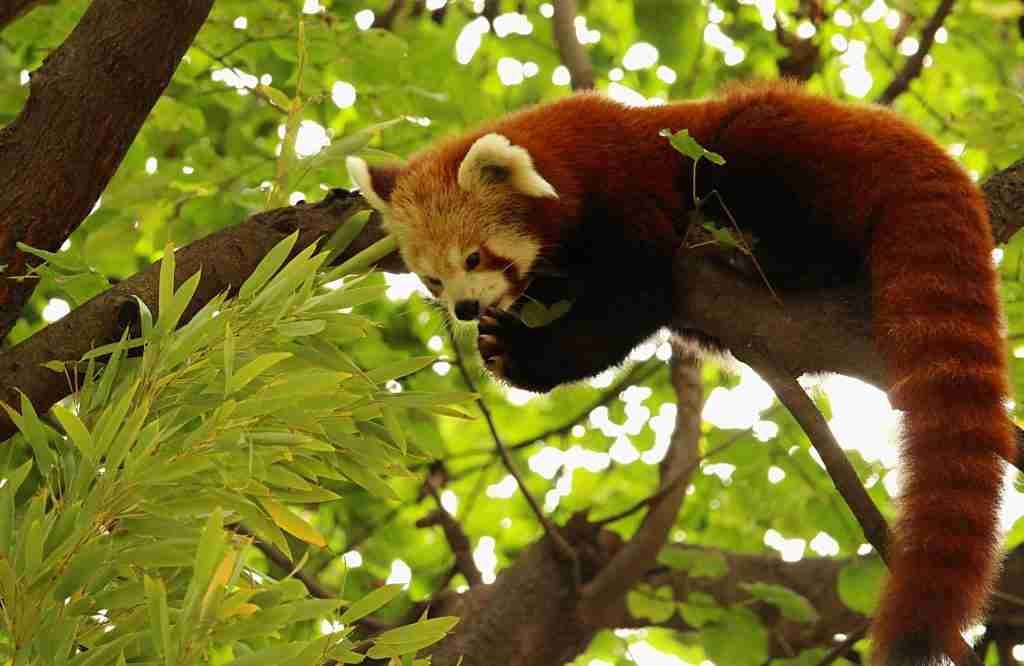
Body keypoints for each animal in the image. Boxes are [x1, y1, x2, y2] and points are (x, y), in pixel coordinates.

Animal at [346, 80, 1015, 659]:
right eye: (433, 279)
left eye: (475, 257)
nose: (465, 309)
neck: (579, 154)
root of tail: (924, 151)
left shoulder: (635, 197)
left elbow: (633, 302)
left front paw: (523, 356)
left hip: (789, 152)